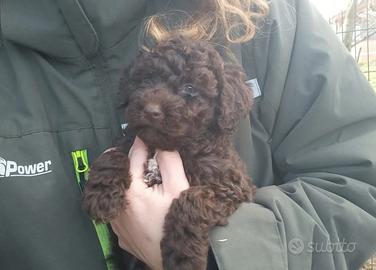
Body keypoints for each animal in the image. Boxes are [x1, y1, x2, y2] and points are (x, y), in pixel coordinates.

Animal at [84, 35, 256, 270]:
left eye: (189, 88)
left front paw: (183, 257)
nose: (151, 111)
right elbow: (112, 155)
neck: (164, 147)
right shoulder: (129, 141)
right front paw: (101, 195)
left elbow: (191, 203)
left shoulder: (232, 187)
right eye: (146, 81)